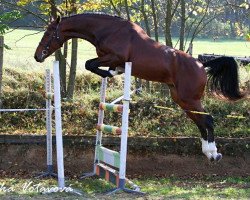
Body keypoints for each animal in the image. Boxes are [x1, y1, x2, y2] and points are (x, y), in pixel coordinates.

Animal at [34, 13, 243, 162]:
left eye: (48, 33)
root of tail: (201, 64)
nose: (37, 56)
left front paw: (111, 74)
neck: (108, 30)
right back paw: (208, 152)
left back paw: (214, 153)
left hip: (190, 98)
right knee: (200, 122)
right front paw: (112, 73)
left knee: (208, 120)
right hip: (182, 99)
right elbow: (91, 65)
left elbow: (90, 64)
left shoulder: (115, 57)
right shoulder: (109, 58)